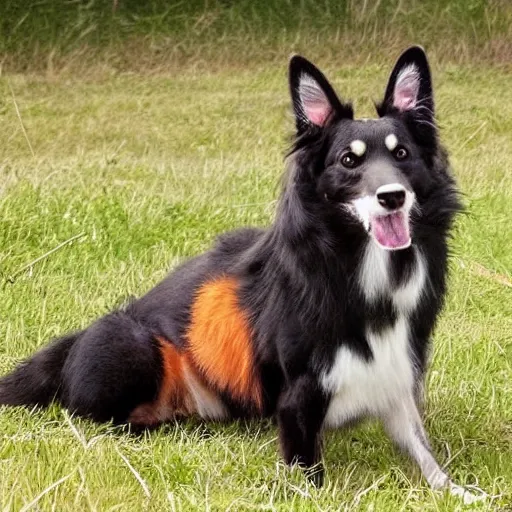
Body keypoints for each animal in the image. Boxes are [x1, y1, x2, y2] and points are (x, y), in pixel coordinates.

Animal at [0, 46, 480, 502]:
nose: (392, 196)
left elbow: (422, 449)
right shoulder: (300, 393)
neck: (356, 263)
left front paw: (457, 491)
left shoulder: (395, 371)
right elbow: (308, 470)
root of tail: (74, 341)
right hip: (134, 345)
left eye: (402, 154)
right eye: (348, 160)